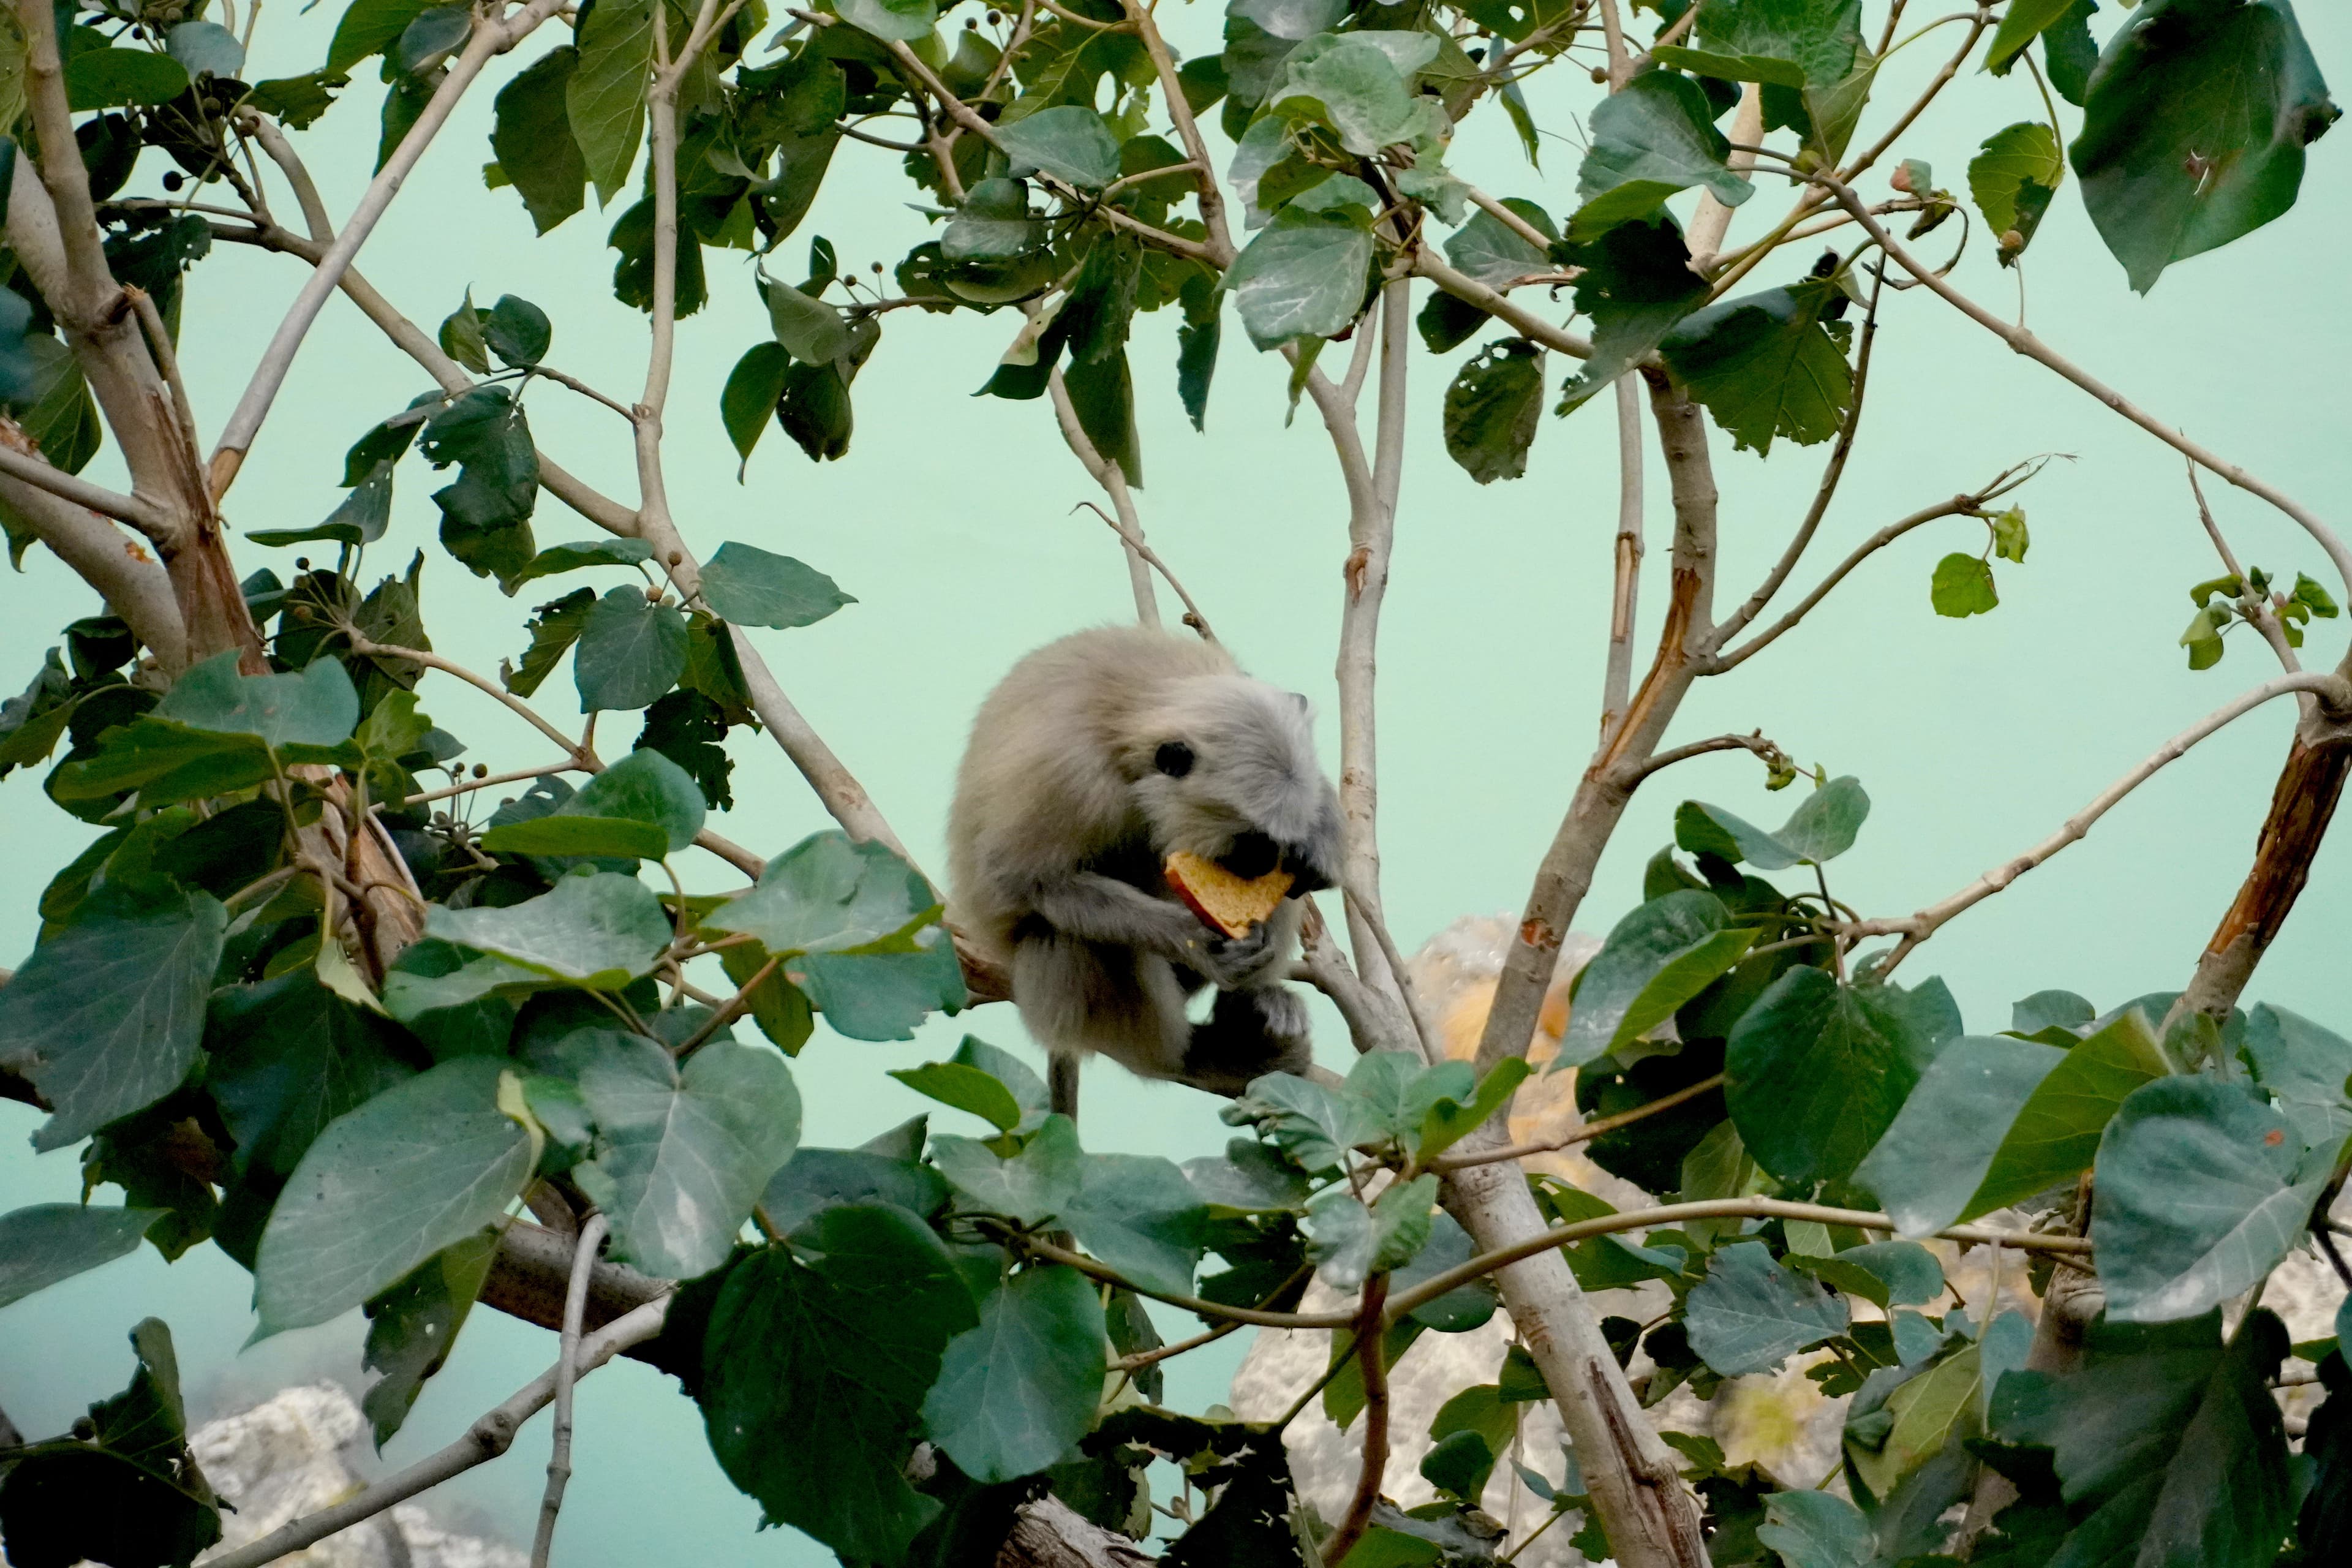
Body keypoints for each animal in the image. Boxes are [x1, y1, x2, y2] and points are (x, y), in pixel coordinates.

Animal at [947, 625, 1344, 1097]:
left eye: (1271, 851)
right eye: (1251, 847)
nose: (1259, 871)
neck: (1129, 710)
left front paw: (1323, 838)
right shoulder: (1072, 777)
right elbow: (1026, 882)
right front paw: (1198, 941)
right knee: (1075, 935)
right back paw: (1200, 1059)